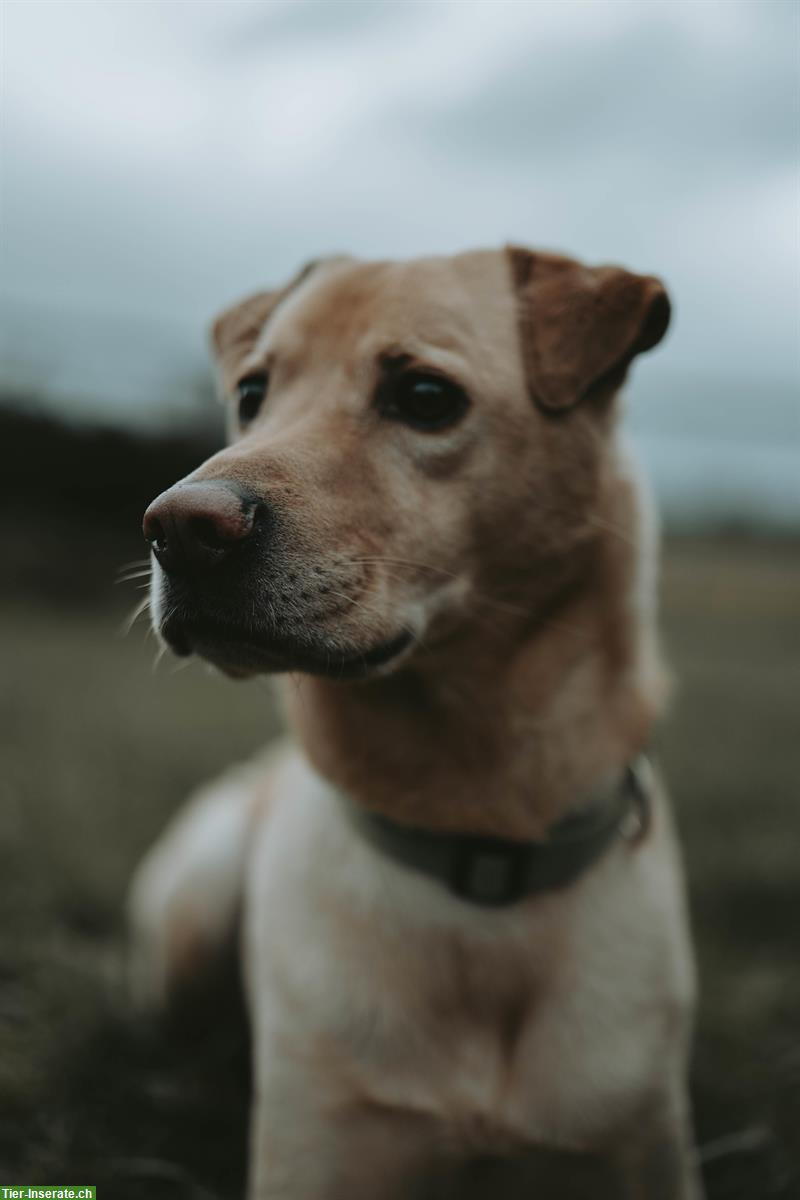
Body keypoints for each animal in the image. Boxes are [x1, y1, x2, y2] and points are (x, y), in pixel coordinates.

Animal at [126, 248, 700, 1195]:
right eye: (252, 392)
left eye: (426, 396)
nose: (179, 526)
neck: (475, 826)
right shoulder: (322, 1150)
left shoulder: (636, 1144)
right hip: (195, 904)